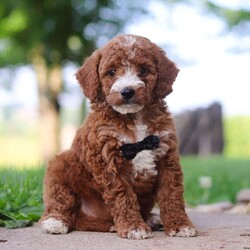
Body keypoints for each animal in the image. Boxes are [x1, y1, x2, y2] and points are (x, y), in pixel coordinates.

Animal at [40, 34, 197, 239]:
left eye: (143, 69)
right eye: (111, 71)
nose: (127, 91)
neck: (133, 118)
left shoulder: (167, 156)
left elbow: (172, 194)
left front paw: (180, 225)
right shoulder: (109, 161)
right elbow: (123, 196)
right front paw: (133, 227)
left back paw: (148, 219)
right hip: (60, 165)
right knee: (61, 200)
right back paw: (56, 221)